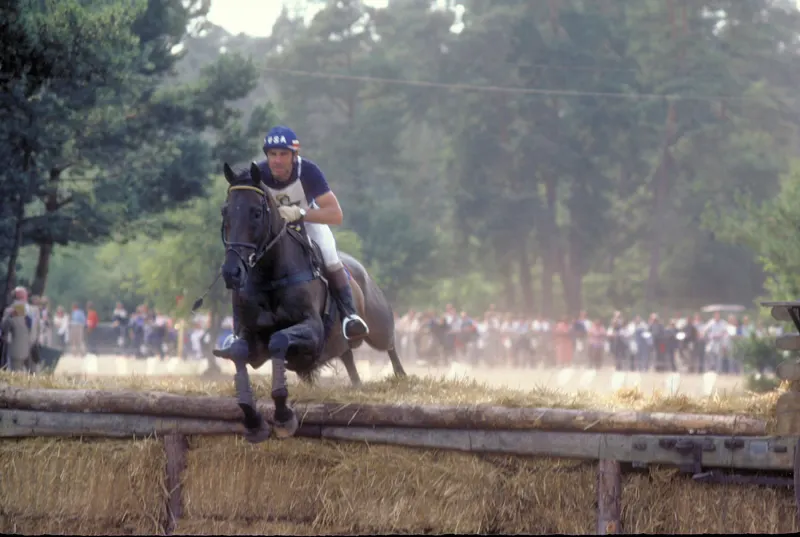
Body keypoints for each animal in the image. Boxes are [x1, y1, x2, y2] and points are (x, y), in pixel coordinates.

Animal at [212, 161, 406, 442]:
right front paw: (253, 420)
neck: (270, 276)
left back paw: (402, 378)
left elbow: (279, 340)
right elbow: (239, 352)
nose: (231, 272)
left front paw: (283, 417)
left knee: (389, 345)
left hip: (377, 326)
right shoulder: (251, 340)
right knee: (349, 358)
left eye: (257, 213)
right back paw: (358, 385)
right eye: (225, 211)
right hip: (342, 344)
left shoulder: (312, 331)